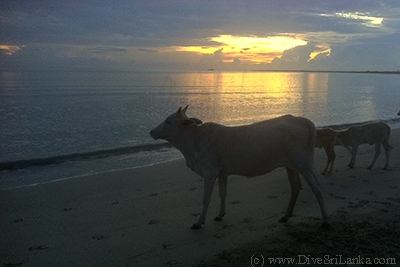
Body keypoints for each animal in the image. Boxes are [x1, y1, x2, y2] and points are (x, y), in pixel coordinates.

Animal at [150, 105, 328, 229]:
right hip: (290, 166)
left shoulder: (210, 172)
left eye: (168, 121)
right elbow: (223, 194)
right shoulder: (222, 173)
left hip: (304, 165)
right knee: (296, 187)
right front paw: (220, 215)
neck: (194, 142)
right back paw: (286, 216)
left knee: (317, 188)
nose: (151, 131)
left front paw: (199, 222)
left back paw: (325, 221)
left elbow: (206, 198)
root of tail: (305, 121)